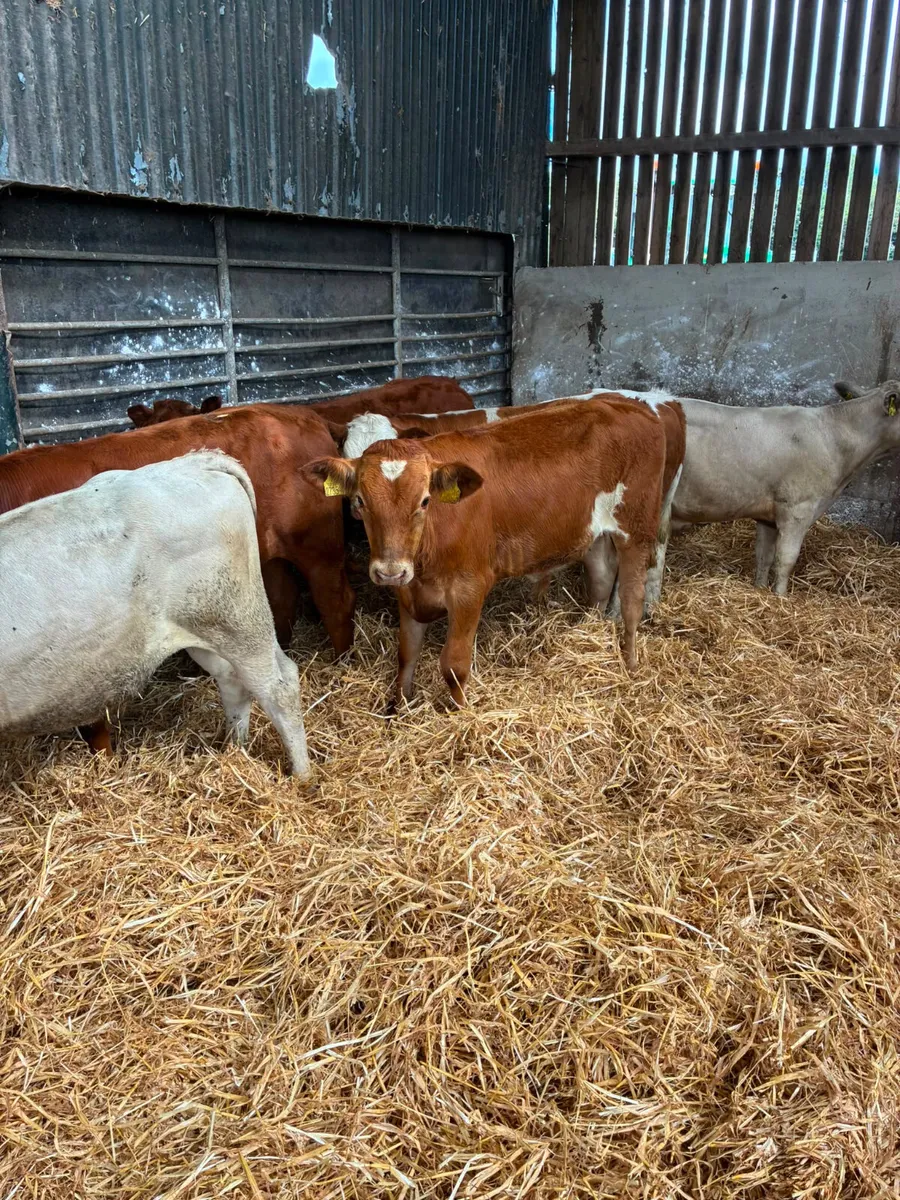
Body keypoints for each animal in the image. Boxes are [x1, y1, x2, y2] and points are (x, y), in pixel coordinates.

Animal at [303, 399, 668, 710]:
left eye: (424, 501)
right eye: (361, 499)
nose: (389, 571)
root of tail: (630, 406)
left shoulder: (470, 588)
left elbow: (454, 665)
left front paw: (459, 714)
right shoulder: (408, 592)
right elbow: (406, 655)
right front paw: (398, 708)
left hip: (637, 528)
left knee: (632, 600)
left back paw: (631, 665)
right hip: (592, 532)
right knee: (602, 577)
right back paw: (587, 630)